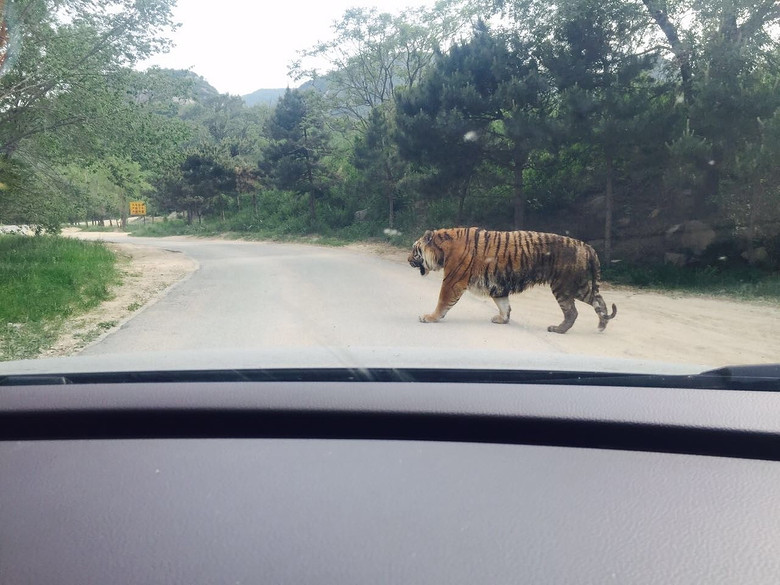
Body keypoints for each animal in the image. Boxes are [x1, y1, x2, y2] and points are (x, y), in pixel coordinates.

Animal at [408, 227, 616, 334]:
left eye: (414, 249)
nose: (408, 259)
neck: (443, 249)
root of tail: (586, 246)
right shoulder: (496, 284)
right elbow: (504, 305)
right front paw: (503, 319)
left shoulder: (452, 281)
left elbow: (442, 301)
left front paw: (430, 317)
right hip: (578, 285)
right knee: (599, 301)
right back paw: (602, 325)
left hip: (562, 286)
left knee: (572, 311)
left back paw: (557, 329)